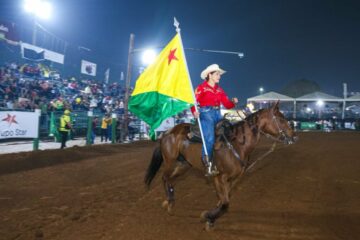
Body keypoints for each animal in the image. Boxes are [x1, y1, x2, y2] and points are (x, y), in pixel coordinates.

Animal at [144, 101, 298, 231]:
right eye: (280, 119)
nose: (294, 136)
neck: (237, 145)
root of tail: (168, 132)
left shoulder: (232, 180)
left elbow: (223, 201)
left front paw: (211, 218)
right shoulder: (219, 178)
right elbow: (225, 204)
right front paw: (207, 217)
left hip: (184, 165)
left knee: (171, 179)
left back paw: (169, 203)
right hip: (170, 161)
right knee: (164, 177)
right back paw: (169, 203)